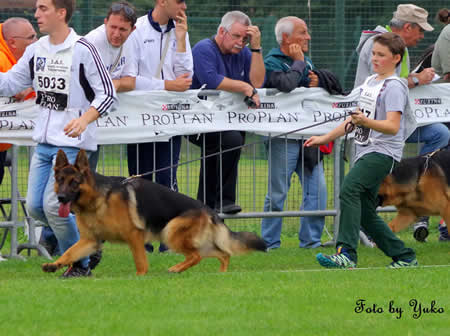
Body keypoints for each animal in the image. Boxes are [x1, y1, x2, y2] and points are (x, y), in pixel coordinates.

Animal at [41, 150, 268, 276]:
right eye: (60, 180)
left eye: (74, 182)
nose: (60, 198)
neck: (98, 199)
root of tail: (209, 210)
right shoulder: (89, 241)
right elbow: (69, 253)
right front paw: (54, 265)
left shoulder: (134, 236)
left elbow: (141, 262)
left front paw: (140, 277)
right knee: (223, 254)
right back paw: (221, 274)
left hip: (170, 231)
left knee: (196, 256)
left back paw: (176, 269)